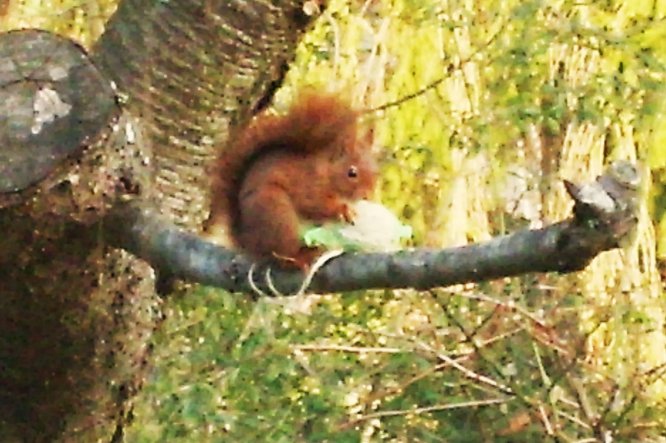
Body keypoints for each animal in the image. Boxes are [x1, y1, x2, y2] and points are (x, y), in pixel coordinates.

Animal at [205, 92, 376, 268]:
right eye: (352, 172)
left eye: (376, 171)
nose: (367, 196)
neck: (325, 171)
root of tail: (247, 240)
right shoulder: (307, 184)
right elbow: (314, 204)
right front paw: (343, 209)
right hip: (276, 212)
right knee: (282, 255)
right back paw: (301, 257)